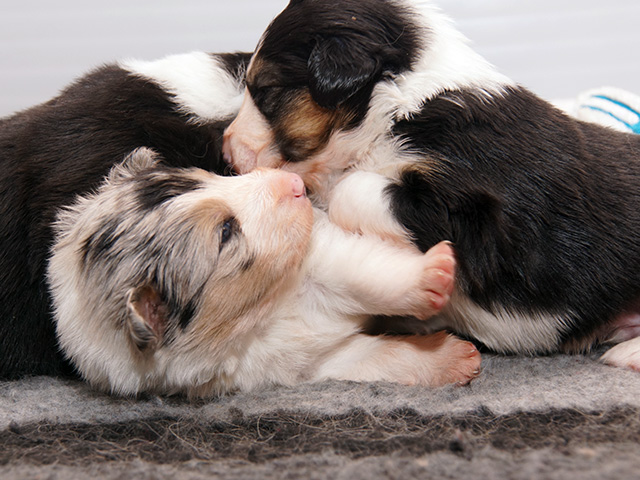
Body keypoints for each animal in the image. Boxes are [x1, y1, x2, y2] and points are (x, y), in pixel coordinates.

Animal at [47, 147, 479, 397]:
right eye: (225, 232)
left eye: (207, 176)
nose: (295, 182)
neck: (268, 309)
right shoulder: (300, 365)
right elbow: (375, 355)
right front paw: (452, 359)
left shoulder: (325, 255)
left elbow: (370, 273)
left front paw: (435, 271)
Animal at [222, 0, 640, 370]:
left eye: (267, 91)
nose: (225, 148)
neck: (402, 109)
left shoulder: (474, 212)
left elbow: (351, 187)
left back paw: (626, 355)